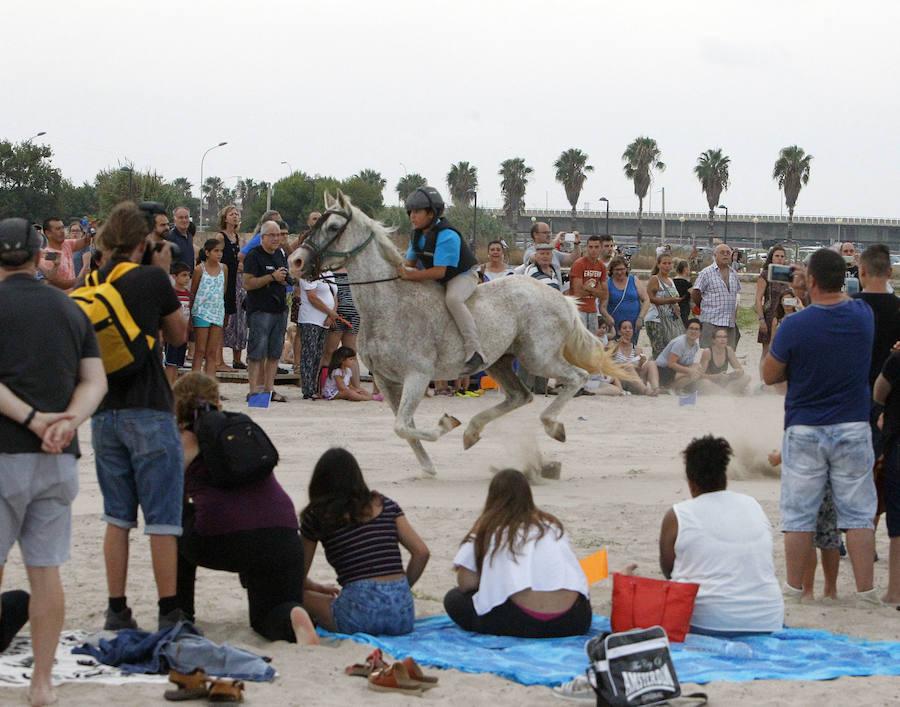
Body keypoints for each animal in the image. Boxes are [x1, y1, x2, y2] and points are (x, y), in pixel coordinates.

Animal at [292, 191, 628, 476]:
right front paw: (429, 467)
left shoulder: (417, 375)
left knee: (575, 378)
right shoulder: (385, 380)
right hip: (500, 361)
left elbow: (403, 425)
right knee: (521, 395)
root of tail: (560, 297)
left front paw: (446, 424)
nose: (296, 262)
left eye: (334, 226)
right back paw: (474, 432)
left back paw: (551, 427)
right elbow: (403, 427)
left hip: (538, 357)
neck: (387, 305)